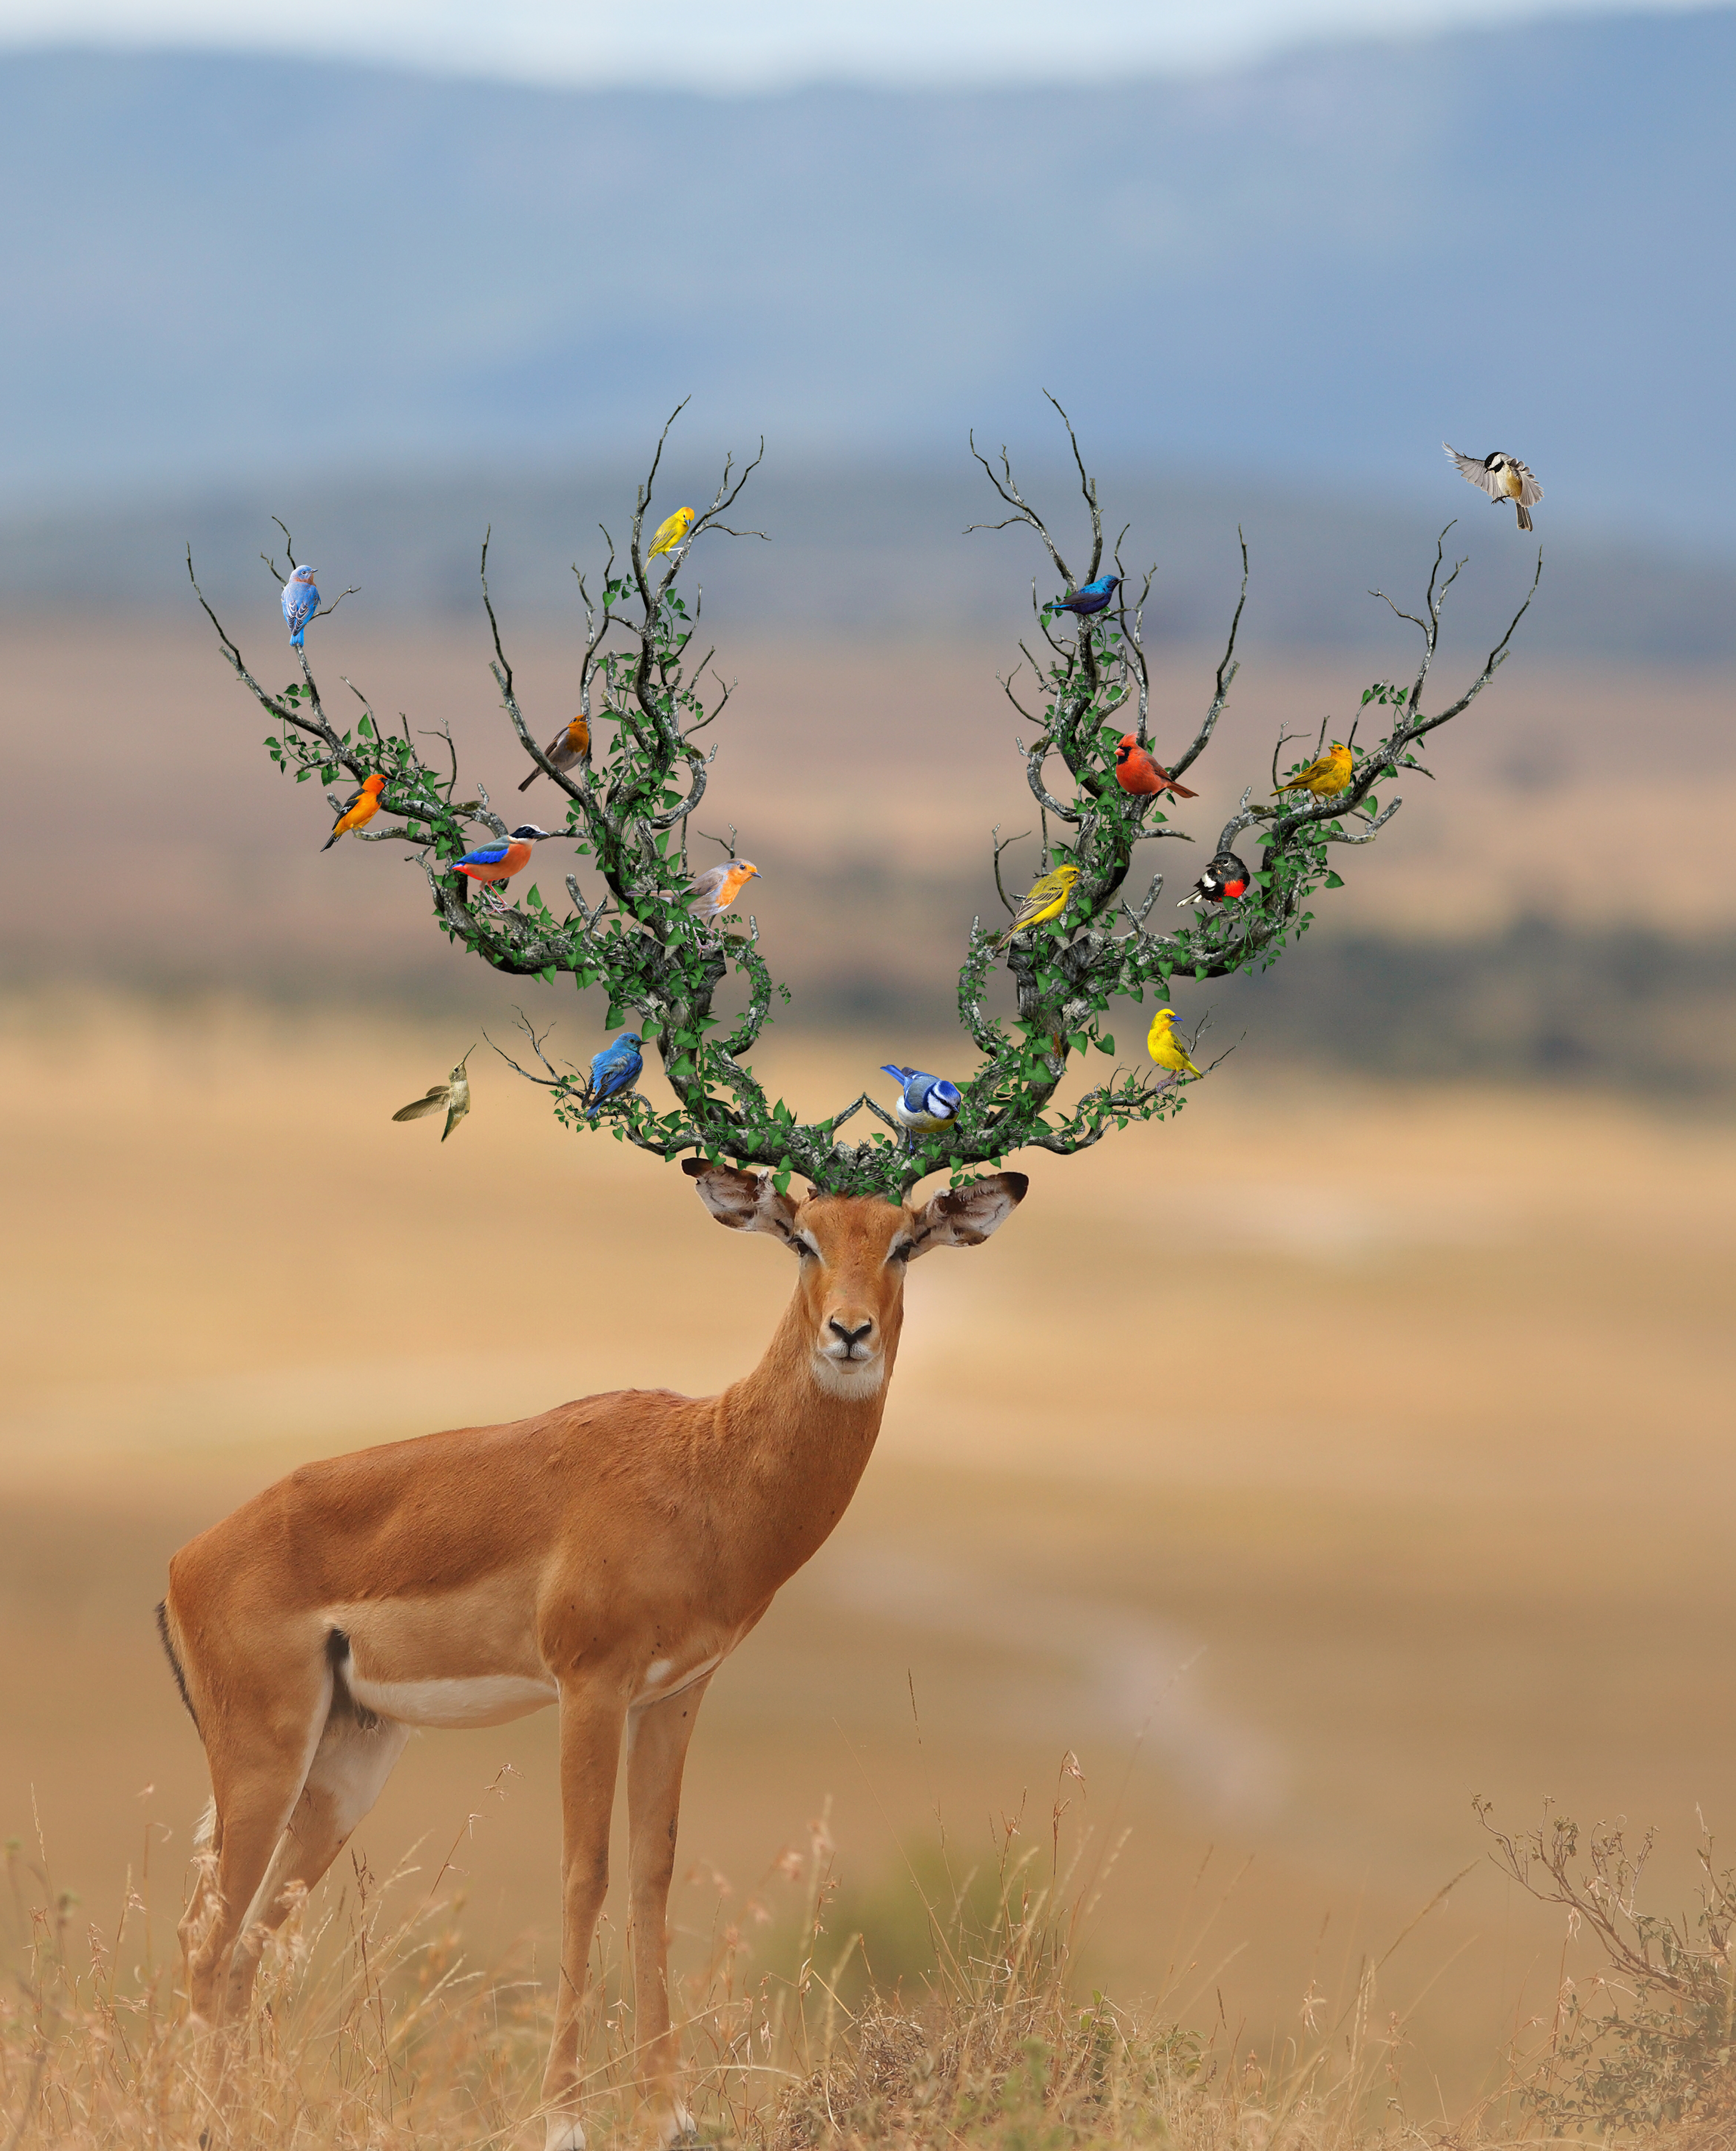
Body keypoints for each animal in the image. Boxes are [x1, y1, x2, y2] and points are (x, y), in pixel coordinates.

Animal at [173, 400, 1537, 2146]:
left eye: (904, 1242)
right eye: (802, 1232)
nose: (844, 1334)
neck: (694, 1472)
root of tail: (188, 1558)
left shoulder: (678, 1689)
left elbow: (659, 1881)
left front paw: (668, 2106)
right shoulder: (592, 1682)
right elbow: (581, 1875)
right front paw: (563, 2112)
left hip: (349, 1750)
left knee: (239, 1949)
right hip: (275, 1742)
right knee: (208, 1934)